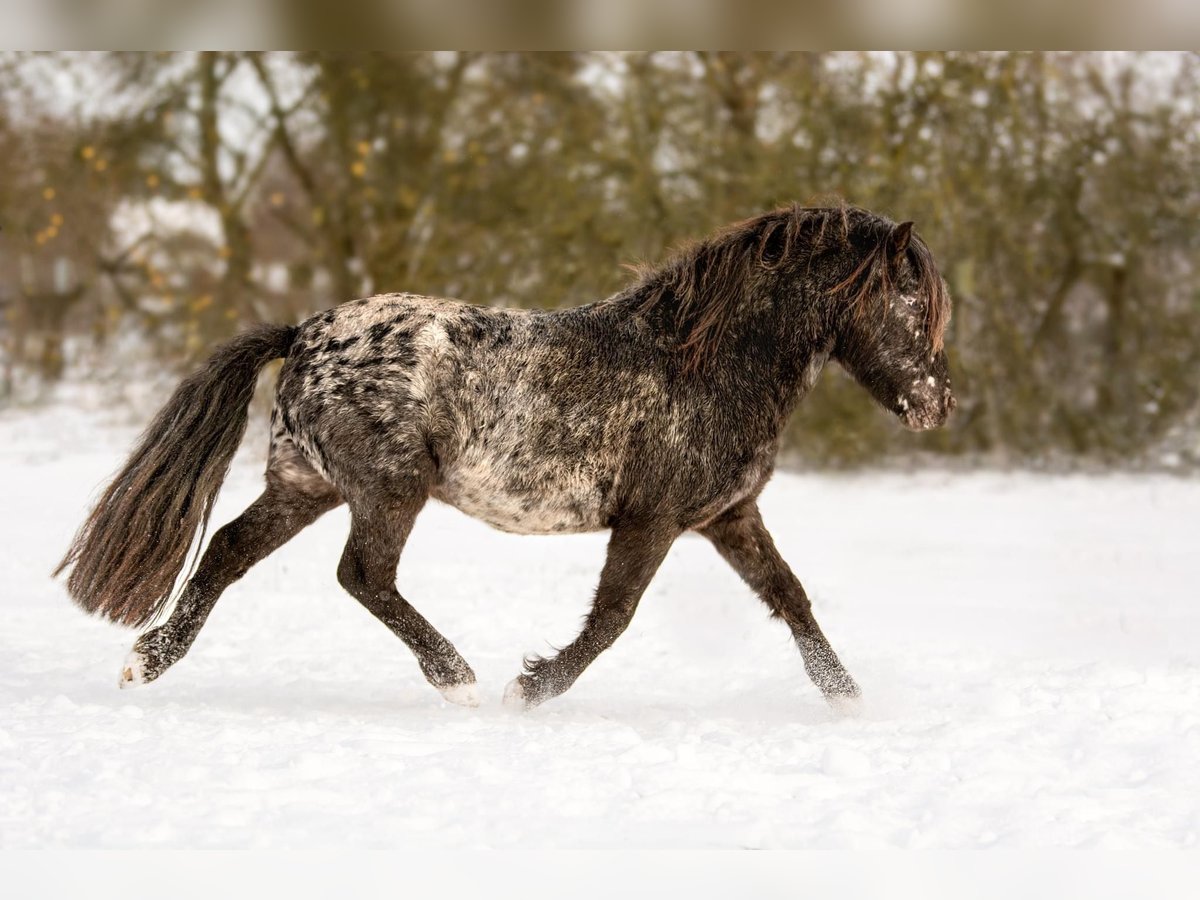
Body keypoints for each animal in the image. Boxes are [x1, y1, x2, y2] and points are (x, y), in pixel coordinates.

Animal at [58, 202, 955, 710]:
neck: (705, 363)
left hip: (305, 484)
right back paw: (456, 678)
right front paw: (530, 688)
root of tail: (303, 333)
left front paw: (849, 700)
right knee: (362, 575)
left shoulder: (729, 515)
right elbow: (614, 617)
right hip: (388, 489)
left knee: (227, 549)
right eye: (912, 305)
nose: (937, 405)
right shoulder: (654, 519)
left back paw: (147, 662)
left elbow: (791, 597)